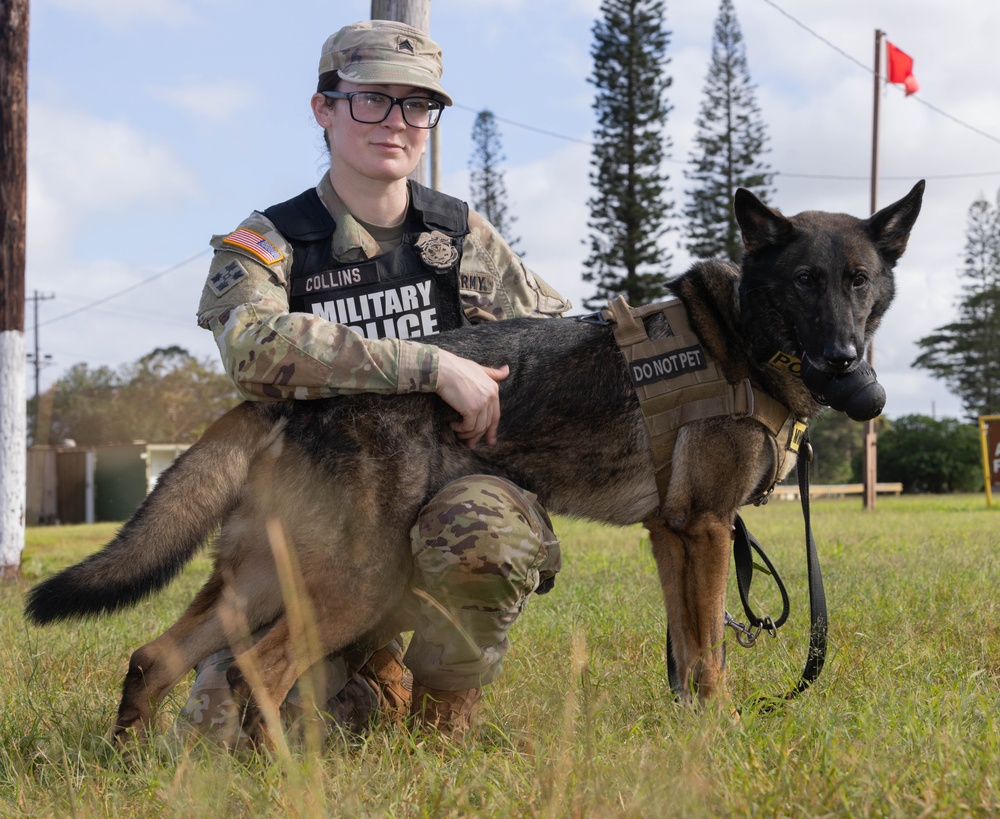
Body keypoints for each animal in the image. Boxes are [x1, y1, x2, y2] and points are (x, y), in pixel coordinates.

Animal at [29, 183, 920, 748]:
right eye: (804, 282)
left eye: (858, 282)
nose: (847, 363)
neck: (740, 332)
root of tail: (291, 400)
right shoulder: (702, 531)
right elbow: (706, 658)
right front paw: (722, 733)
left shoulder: (673, 538)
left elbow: (689, 654)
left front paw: (688, 734)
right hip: (354, 581)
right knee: (261, 672)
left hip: (263, 580)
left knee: (155, 657)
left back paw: (132, 768)